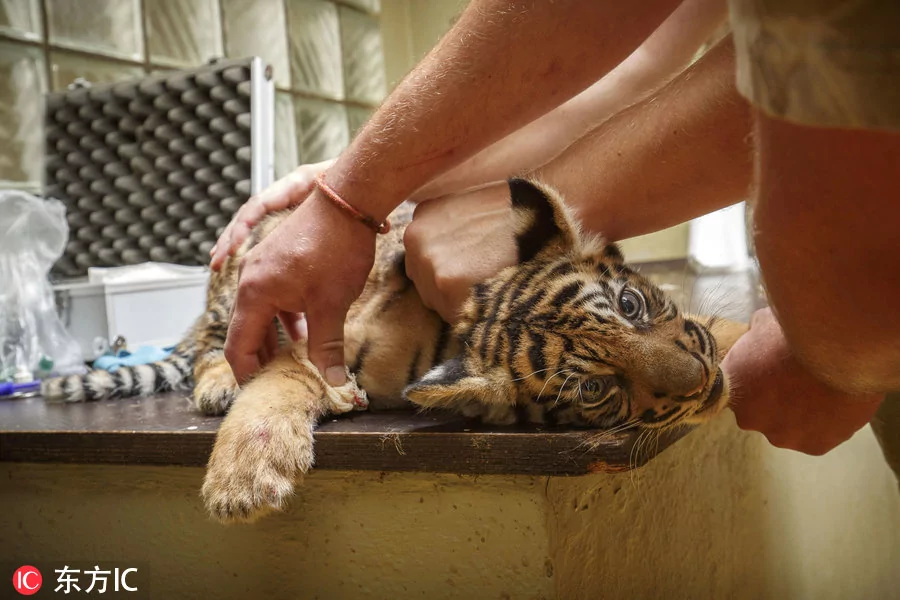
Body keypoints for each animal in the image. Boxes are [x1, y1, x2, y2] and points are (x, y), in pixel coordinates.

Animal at [42, 178, 747, 523]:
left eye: (631, 305)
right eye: (594, 390)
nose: (703, 380)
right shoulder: (317, 341)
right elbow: (274, 390)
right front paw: (241, 485)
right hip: (238, 288)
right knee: (209, 345)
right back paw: (218, 382)